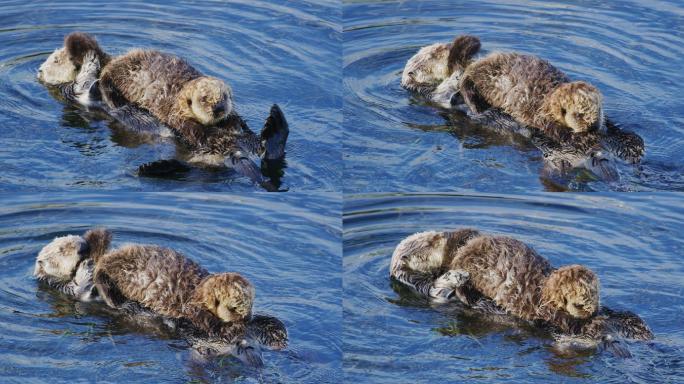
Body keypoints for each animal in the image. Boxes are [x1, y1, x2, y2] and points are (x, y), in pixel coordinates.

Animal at [390, 228, 652, 344]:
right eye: (430, 242)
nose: (443, 235)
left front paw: (463, 237)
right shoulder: (423, 288)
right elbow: (440, 288)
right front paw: (458, 276)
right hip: (563, 321)